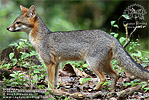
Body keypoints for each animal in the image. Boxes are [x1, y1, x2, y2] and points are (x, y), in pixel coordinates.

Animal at [6, 5, 148, 90]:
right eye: (14, 22)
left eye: (17, 23)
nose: (7, 28)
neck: (42, 37)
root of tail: (110, 36)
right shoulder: (56, 64)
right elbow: (55, 80)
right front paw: (55, 90)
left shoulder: (49, 63)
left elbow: (50, 80)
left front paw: (50, 91)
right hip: (104, 64)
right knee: (115, 75)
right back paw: (111, 90)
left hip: (93, 64)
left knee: (103, 78)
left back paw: (95, 89)